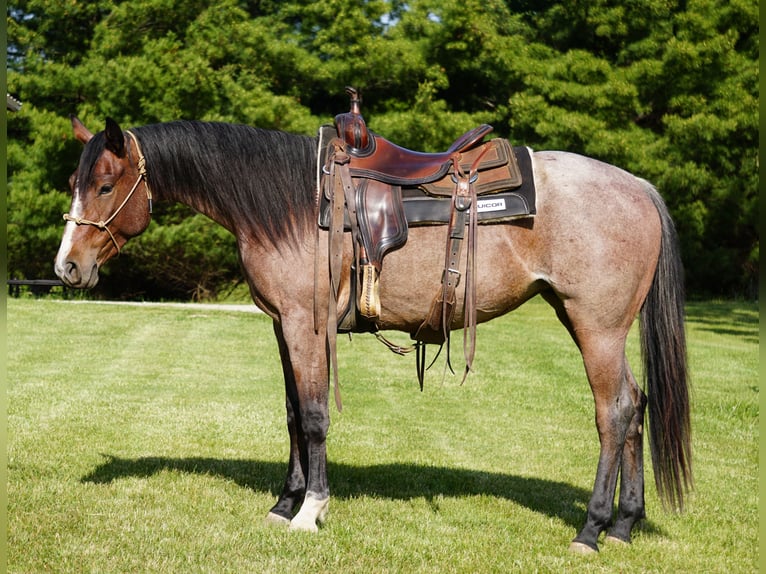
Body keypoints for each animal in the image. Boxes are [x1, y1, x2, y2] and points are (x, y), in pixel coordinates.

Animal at [54, 116, 691, 553]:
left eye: (105, 186)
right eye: (74, 183)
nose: (67, 268)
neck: (291, 204)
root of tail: (638, 186)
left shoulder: (305, 324)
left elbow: (314, 416)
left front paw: (310, 511)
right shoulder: (283, 326)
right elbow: (292, 412)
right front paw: (284, 503)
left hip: (597, 326)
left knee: (613, 412)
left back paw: (591, 529)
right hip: (587, 321)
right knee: (635, 405)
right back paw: (624, 525)